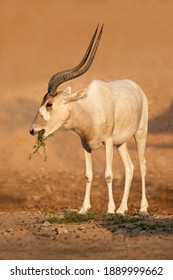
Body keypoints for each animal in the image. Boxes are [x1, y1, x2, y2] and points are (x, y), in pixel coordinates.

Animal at [29, 25, 149, 214]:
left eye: (49, 103)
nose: (33, 130)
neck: (88, 110)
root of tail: (136, 87)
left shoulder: (107, 142)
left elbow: (108, 175)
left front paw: (109, 210)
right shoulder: (85, 145)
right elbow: (88, 175)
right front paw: (83, 208)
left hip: (140, 134)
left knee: (142, 166)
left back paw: (142, 208)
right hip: (120, 143)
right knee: (129, 167)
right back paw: (122, 209)